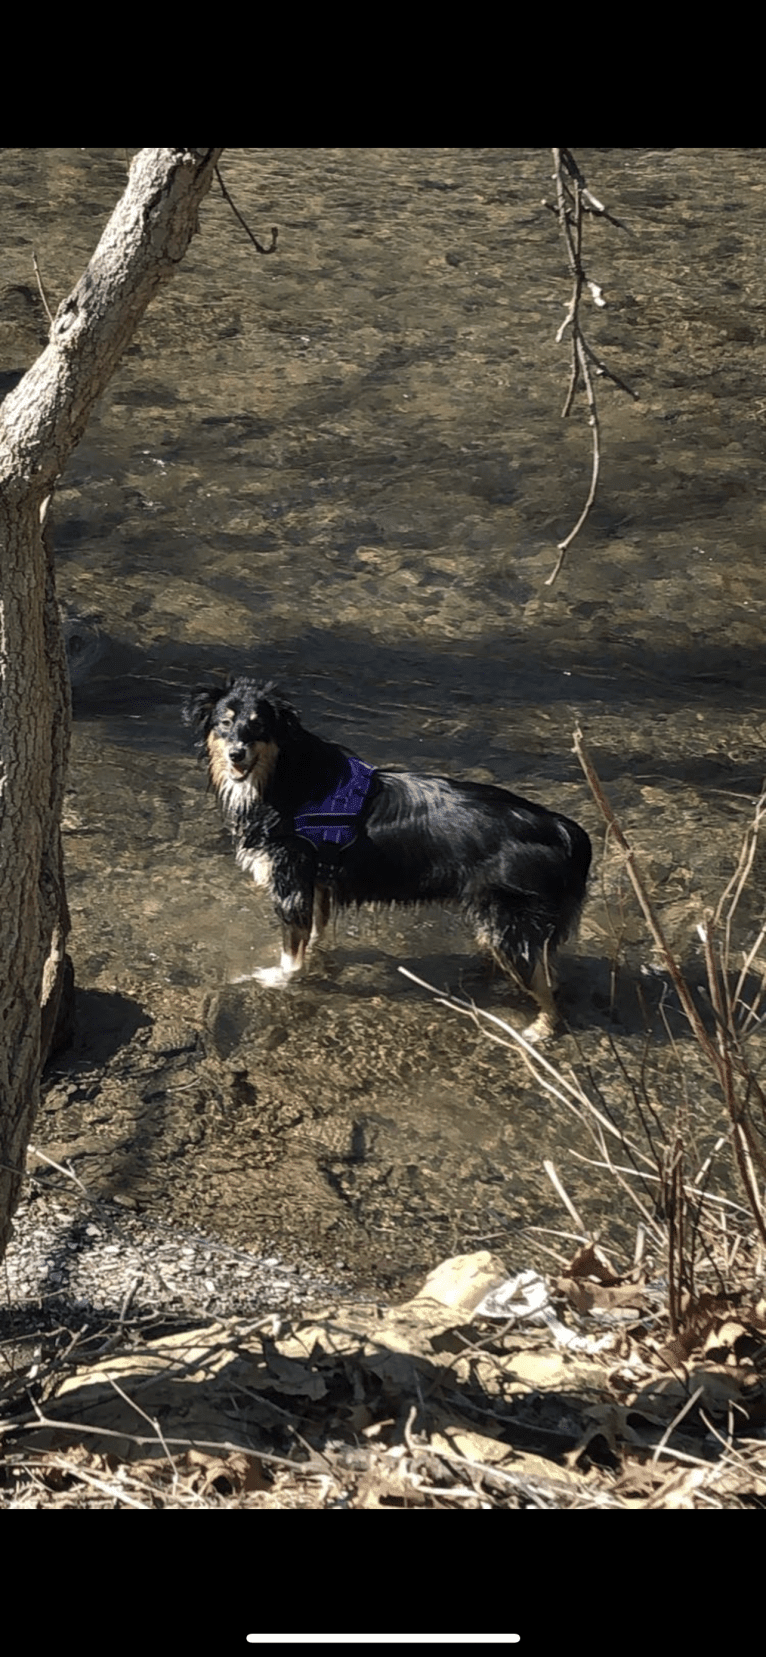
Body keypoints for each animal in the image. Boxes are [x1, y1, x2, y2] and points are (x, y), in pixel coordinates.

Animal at [184, 672, 593, 1033]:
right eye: (225, 723)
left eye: (259, 726)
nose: (236, 754)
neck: (285, 774)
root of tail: (562, 828)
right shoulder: (318, 882)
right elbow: (313, 934)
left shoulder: (292, 882)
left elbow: (291, 951)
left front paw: (277, 979)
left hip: (509, 923)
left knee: (546, 985)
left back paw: (539, 1030)